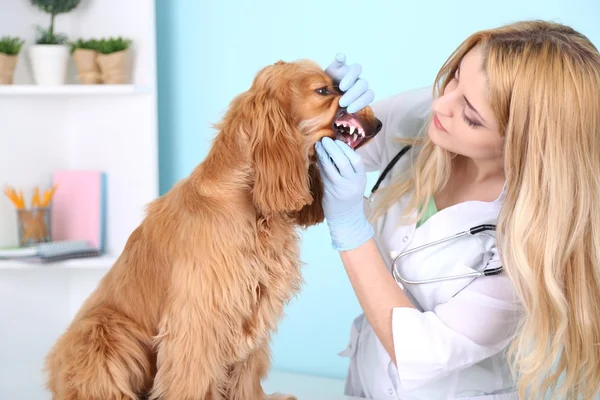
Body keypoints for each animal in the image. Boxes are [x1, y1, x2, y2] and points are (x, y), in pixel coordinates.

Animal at [43, 59, 380, 400]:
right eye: (323, 90)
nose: (378, 123)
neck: (248, 202)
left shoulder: (254, 311)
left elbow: (246, 380)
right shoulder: (198, 319)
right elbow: (193, 381)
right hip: (106, 331)